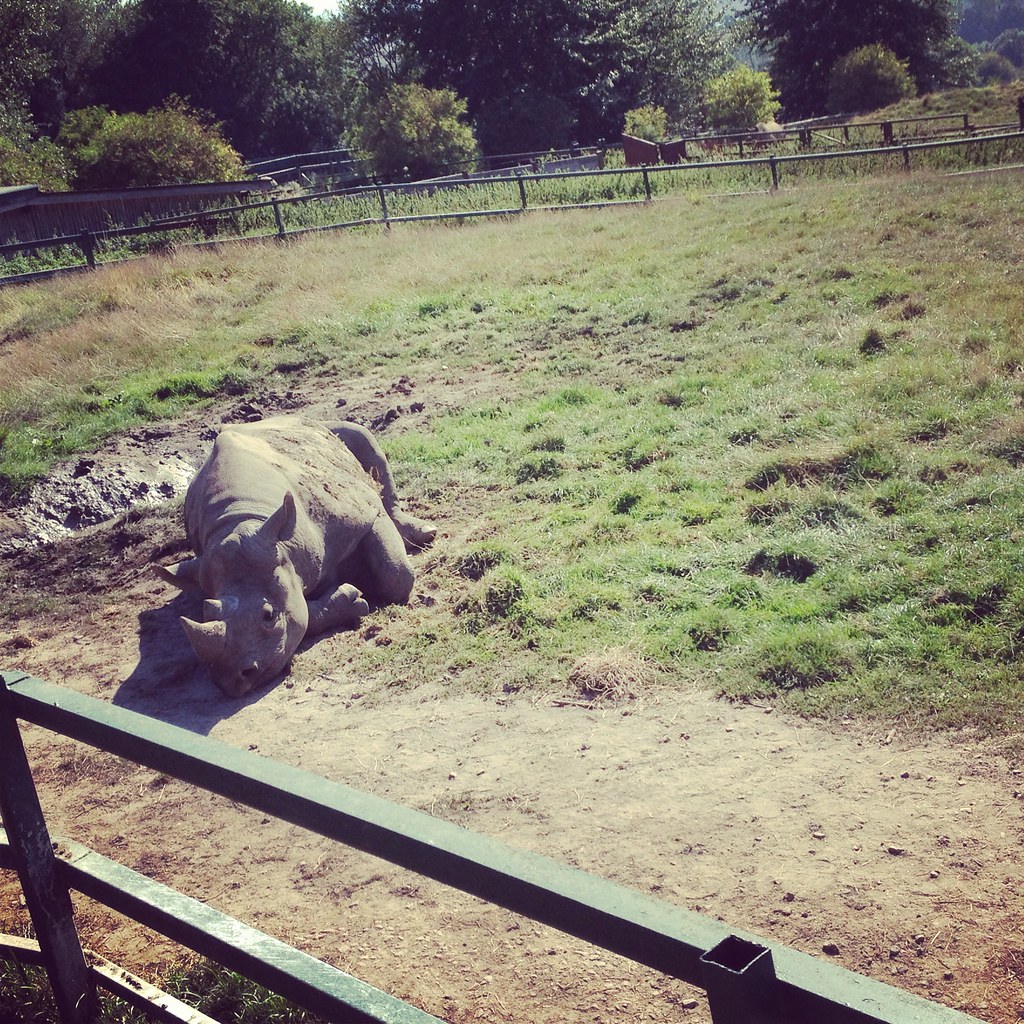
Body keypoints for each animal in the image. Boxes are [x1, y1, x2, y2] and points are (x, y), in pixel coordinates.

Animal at [155, 416, 435, 697]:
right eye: (206, 615)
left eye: (268, 615)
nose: (231, 681)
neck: (241, 520)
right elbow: (301, 617)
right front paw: (351, 598)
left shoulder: (365, 511)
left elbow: (397, 575)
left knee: (363, 438)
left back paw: (424, 533)